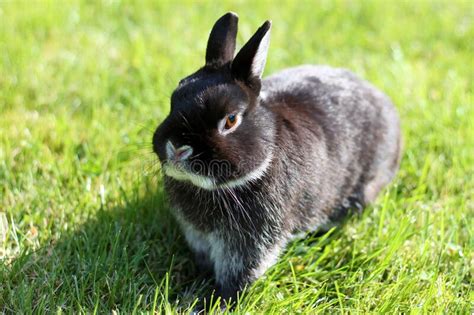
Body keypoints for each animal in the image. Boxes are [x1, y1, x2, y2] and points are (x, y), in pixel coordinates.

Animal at [152, 12, 400, 308]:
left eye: (231, 120)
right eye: (174, 99)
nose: (177, 148)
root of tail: (386, 104)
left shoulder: (250, 243)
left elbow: (239, 275)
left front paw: (217, 302)